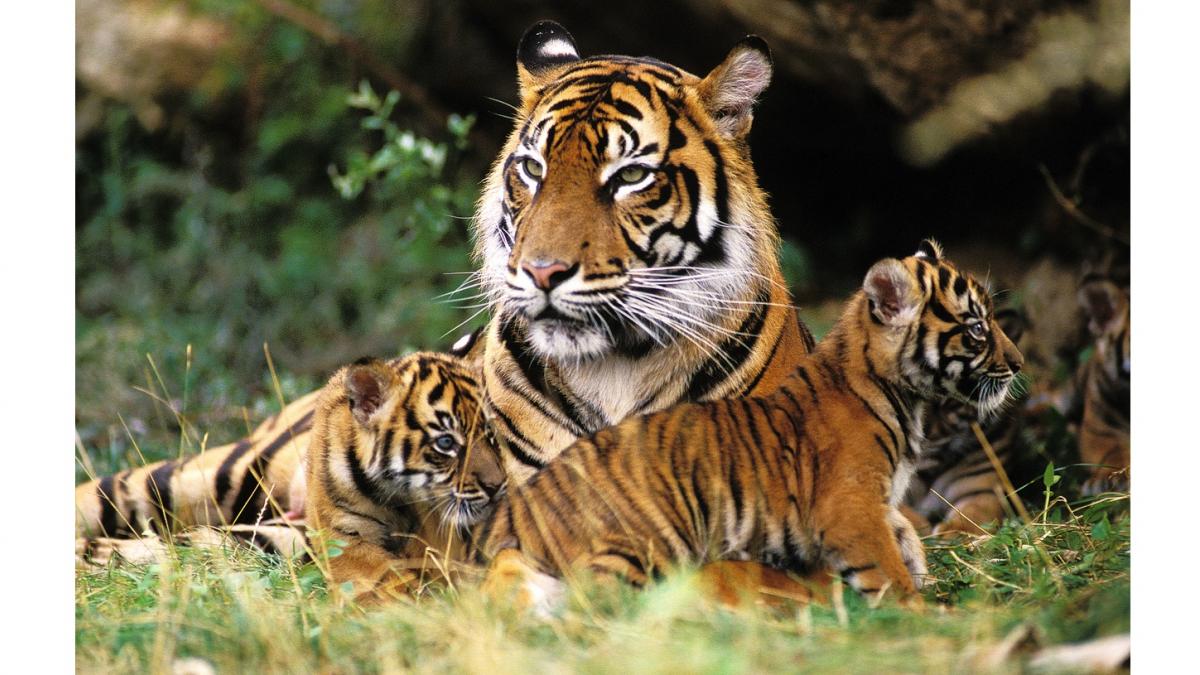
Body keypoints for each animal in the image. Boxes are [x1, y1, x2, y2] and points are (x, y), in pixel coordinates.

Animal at [303, 353, 505, 600]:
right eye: (446, 442)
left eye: (489, 433)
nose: (496, 486)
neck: (392, 496)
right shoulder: (339, 530)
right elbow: (375, 569)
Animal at [477, 240, 1024, 608]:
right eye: (977, 329)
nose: (1018, 364)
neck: (903, 396)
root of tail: (521, 512)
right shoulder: (849, 507)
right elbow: (886, 569)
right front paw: (914, 611)